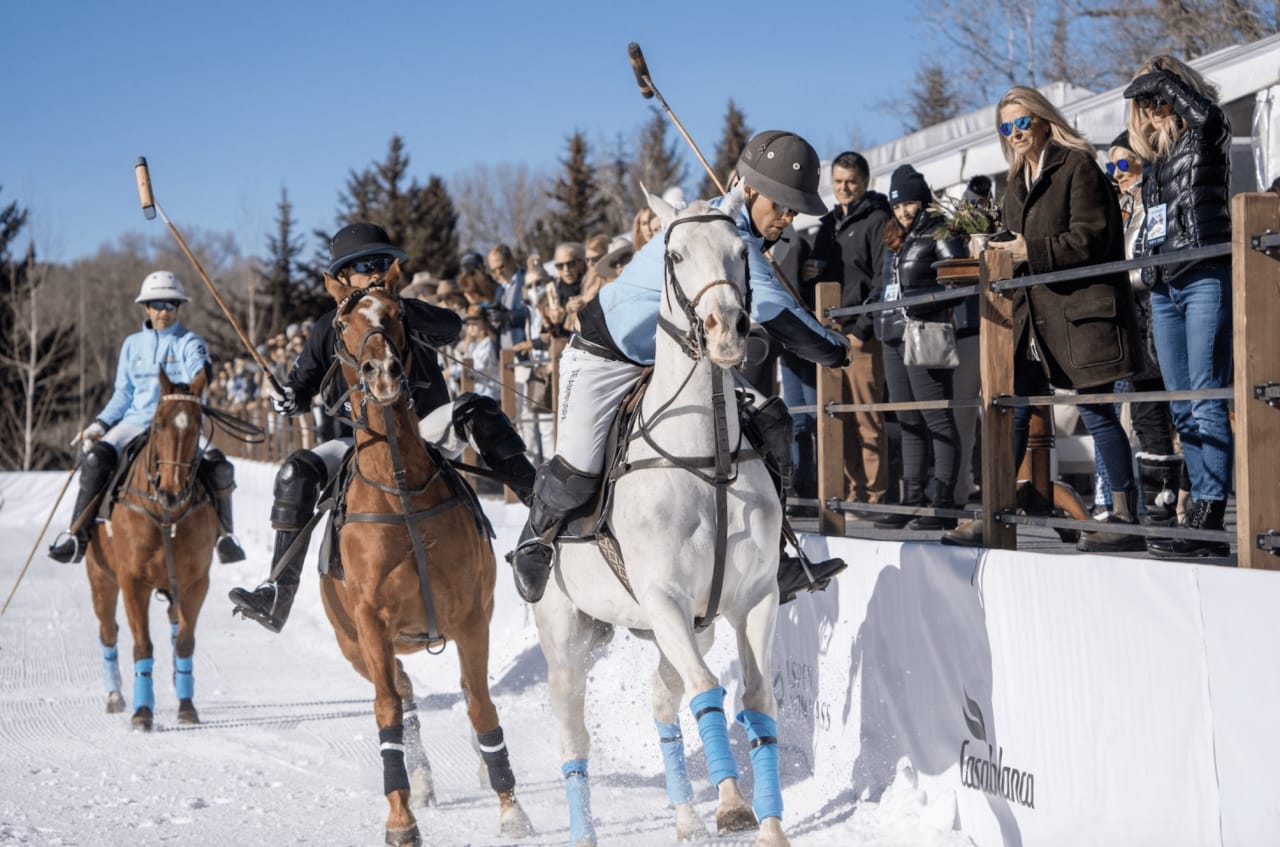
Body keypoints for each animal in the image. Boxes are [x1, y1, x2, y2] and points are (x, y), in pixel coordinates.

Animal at [84, 368, 217, 731]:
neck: (165, 515)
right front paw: (142, 713)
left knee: (173, 627)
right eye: (158, 423)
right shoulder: (133, 582)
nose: (172, 491)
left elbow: (184, 641)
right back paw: (115, 696)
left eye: (198, 425)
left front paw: (187, 705)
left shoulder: (196, 583)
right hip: (100, 578)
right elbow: (142, 645)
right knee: (107, 632)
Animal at [317, 267, 532, 847]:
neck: (398, 491)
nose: (383, 372)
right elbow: (388, 708)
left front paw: (511, 807)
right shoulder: (370, 624)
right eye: (341, 323)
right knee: (402, 691)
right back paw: (420, 778)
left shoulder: (472, 615)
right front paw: (401, 815)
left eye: (397, 312)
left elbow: (480, 702)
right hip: (351, 643)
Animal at [532, 191, 788, 847]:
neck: (708, 456)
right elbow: (707, 689)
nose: (727, 330)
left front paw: (765, 823)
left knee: (660, 700)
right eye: (674, 255)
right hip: (566, 640)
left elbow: (757, 698)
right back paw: (584, 831)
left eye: (741, 250)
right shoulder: (665, 597)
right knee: (573, 735)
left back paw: (685, 817)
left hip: (685, 628)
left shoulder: (754, 597)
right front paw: (735, 807)